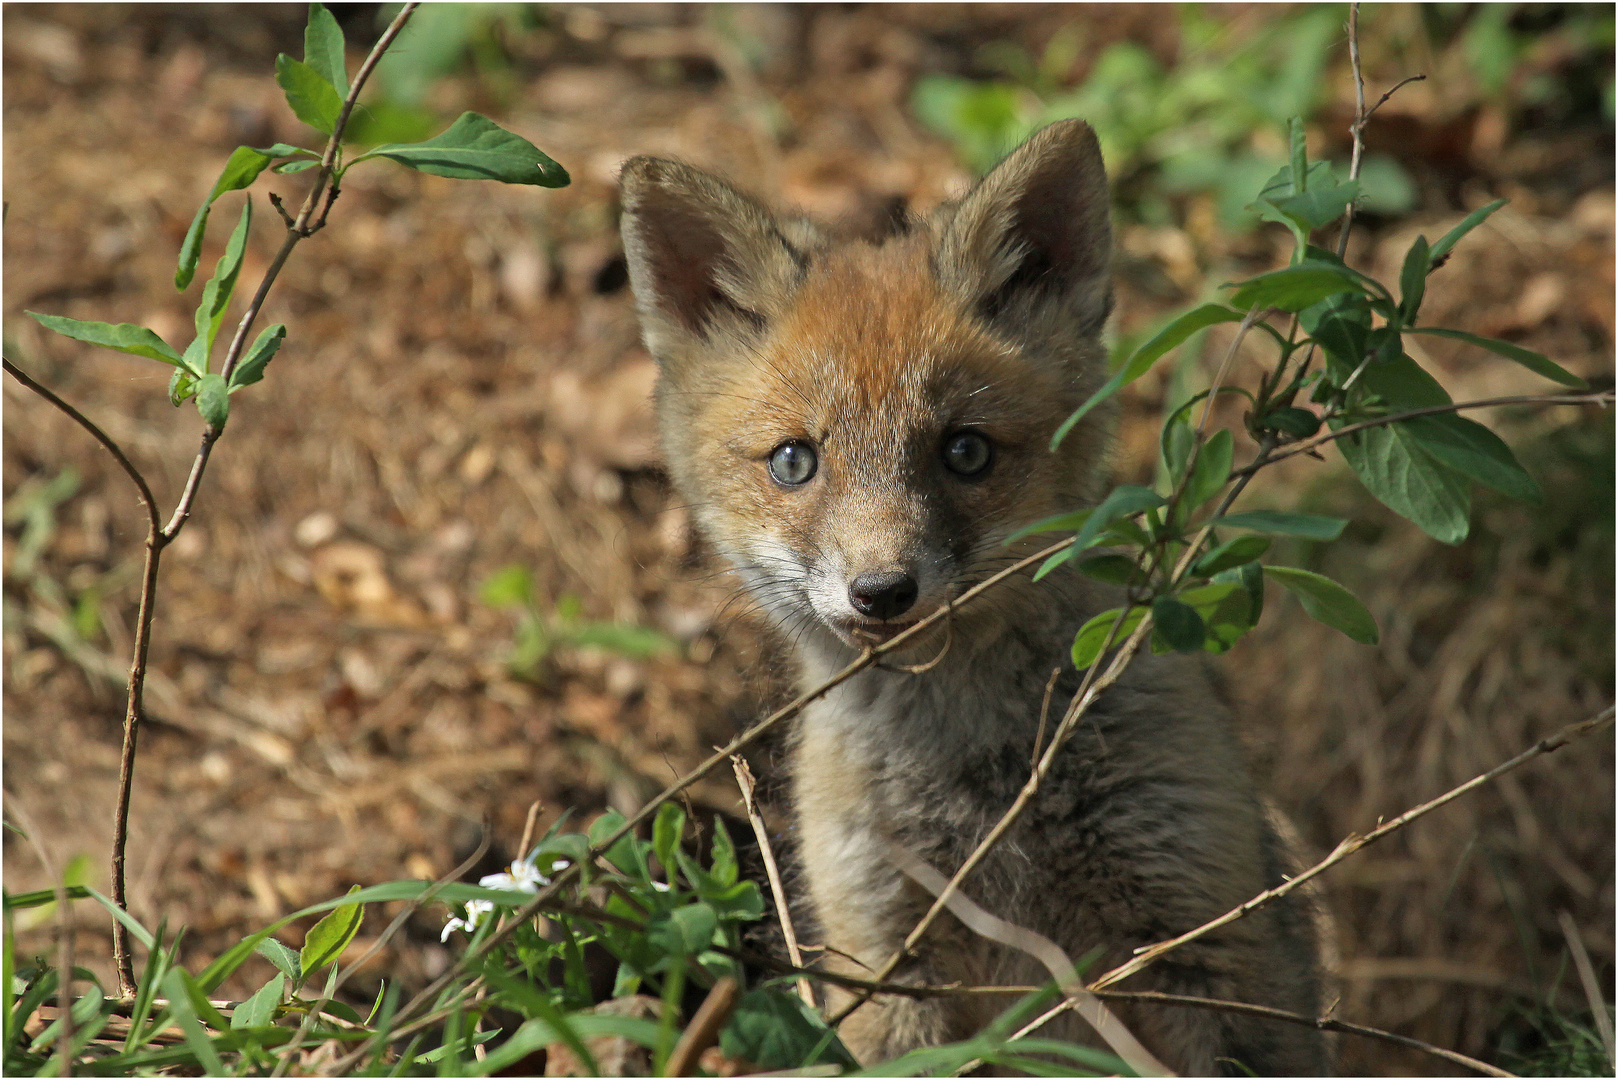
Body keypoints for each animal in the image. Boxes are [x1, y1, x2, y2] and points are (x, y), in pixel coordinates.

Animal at [618, 122, 1326, 1075]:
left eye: (965, 452)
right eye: (795, 461)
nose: (882, 591)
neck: (973, 779)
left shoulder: (1208, 940)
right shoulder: (883, 956)